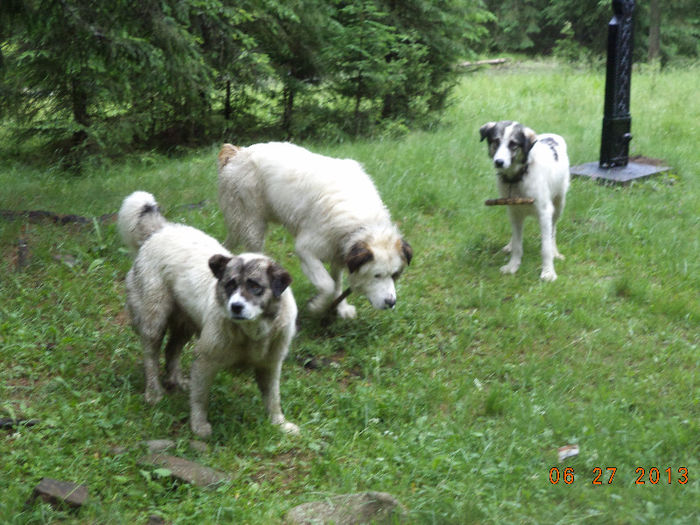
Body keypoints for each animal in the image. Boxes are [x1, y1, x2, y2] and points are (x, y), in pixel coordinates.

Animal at [118, 190, 298, 436]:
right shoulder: (206, 359)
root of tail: (162, 230)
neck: (251, 333)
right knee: (151, 355)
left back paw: (176, 380)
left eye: (255, 286)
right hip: (154, 318)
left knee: (172, 349)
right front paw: (199, 426)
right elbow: (200, 397)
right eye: (230, 284)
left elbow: (273, 398)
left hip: (186, 322)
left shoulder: (270, 364)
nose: (235, 307)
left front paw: (279, 424)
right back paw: (154, 393)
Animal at [217, 141, 410, 318]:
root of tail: (238, 153)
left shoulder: (339, 251)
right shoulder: (306, 250)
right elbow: (327, 284)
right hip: (254, 226)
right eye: (376, 275)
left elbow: (337, 282)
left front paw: (341, 308)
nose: (391, 302)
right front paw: (317, 306)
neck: (363, 225)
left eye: (394, 275)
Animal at [478, 120, 572, 280]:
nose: (499, 162)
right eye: (496, 141)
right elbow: (517, 243)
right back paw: (510, 245)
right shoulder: (514, 211)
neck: (517, 178)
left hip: (559, 203)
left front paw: (548, 272)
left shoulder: (545, 212)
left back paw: (555, 252)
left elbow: (545, 246)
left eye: (513, 144)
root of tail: (552, 135)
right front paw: (513, 266)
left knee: (553, 230)